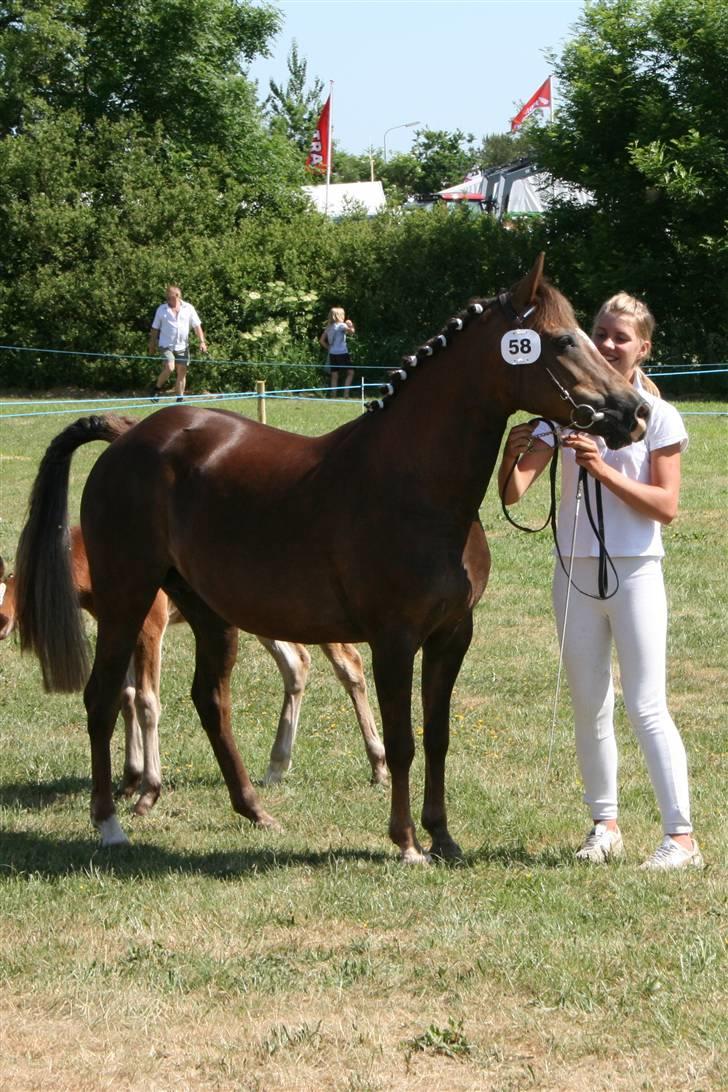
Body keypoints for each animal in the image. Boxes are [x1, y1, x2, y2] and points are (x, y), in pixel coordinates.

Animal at [0, 530, 386, 812]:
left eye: (11, 592)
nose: (2, 626)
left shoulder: (150, 626)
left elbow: (147, 701)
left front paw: (147, 790)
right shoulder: (122, 626)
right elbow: (126, 697)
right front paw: (128, 780)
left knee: (349, 665)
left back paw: (378, 765)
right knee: (296, 664)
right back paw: (276, 766)